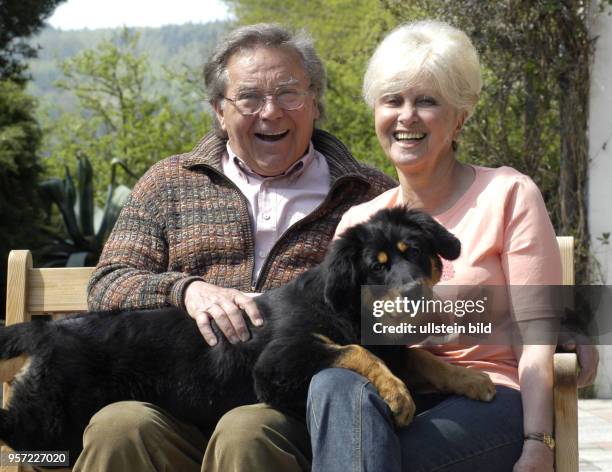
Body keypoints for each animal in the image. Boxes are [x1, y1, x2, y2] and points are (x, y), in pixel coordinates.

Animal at [0, 207, 498, 464]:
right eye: (377, 267)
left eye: (414, 251)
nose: (414, 293)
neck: (345, 308)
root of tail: (48, 330)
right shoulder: (278, 363)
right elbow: (354, 351)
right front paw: (397, 395)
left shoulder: (392, 347)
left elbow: (421, 359)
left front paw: (473, 380)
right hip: (50, 415)